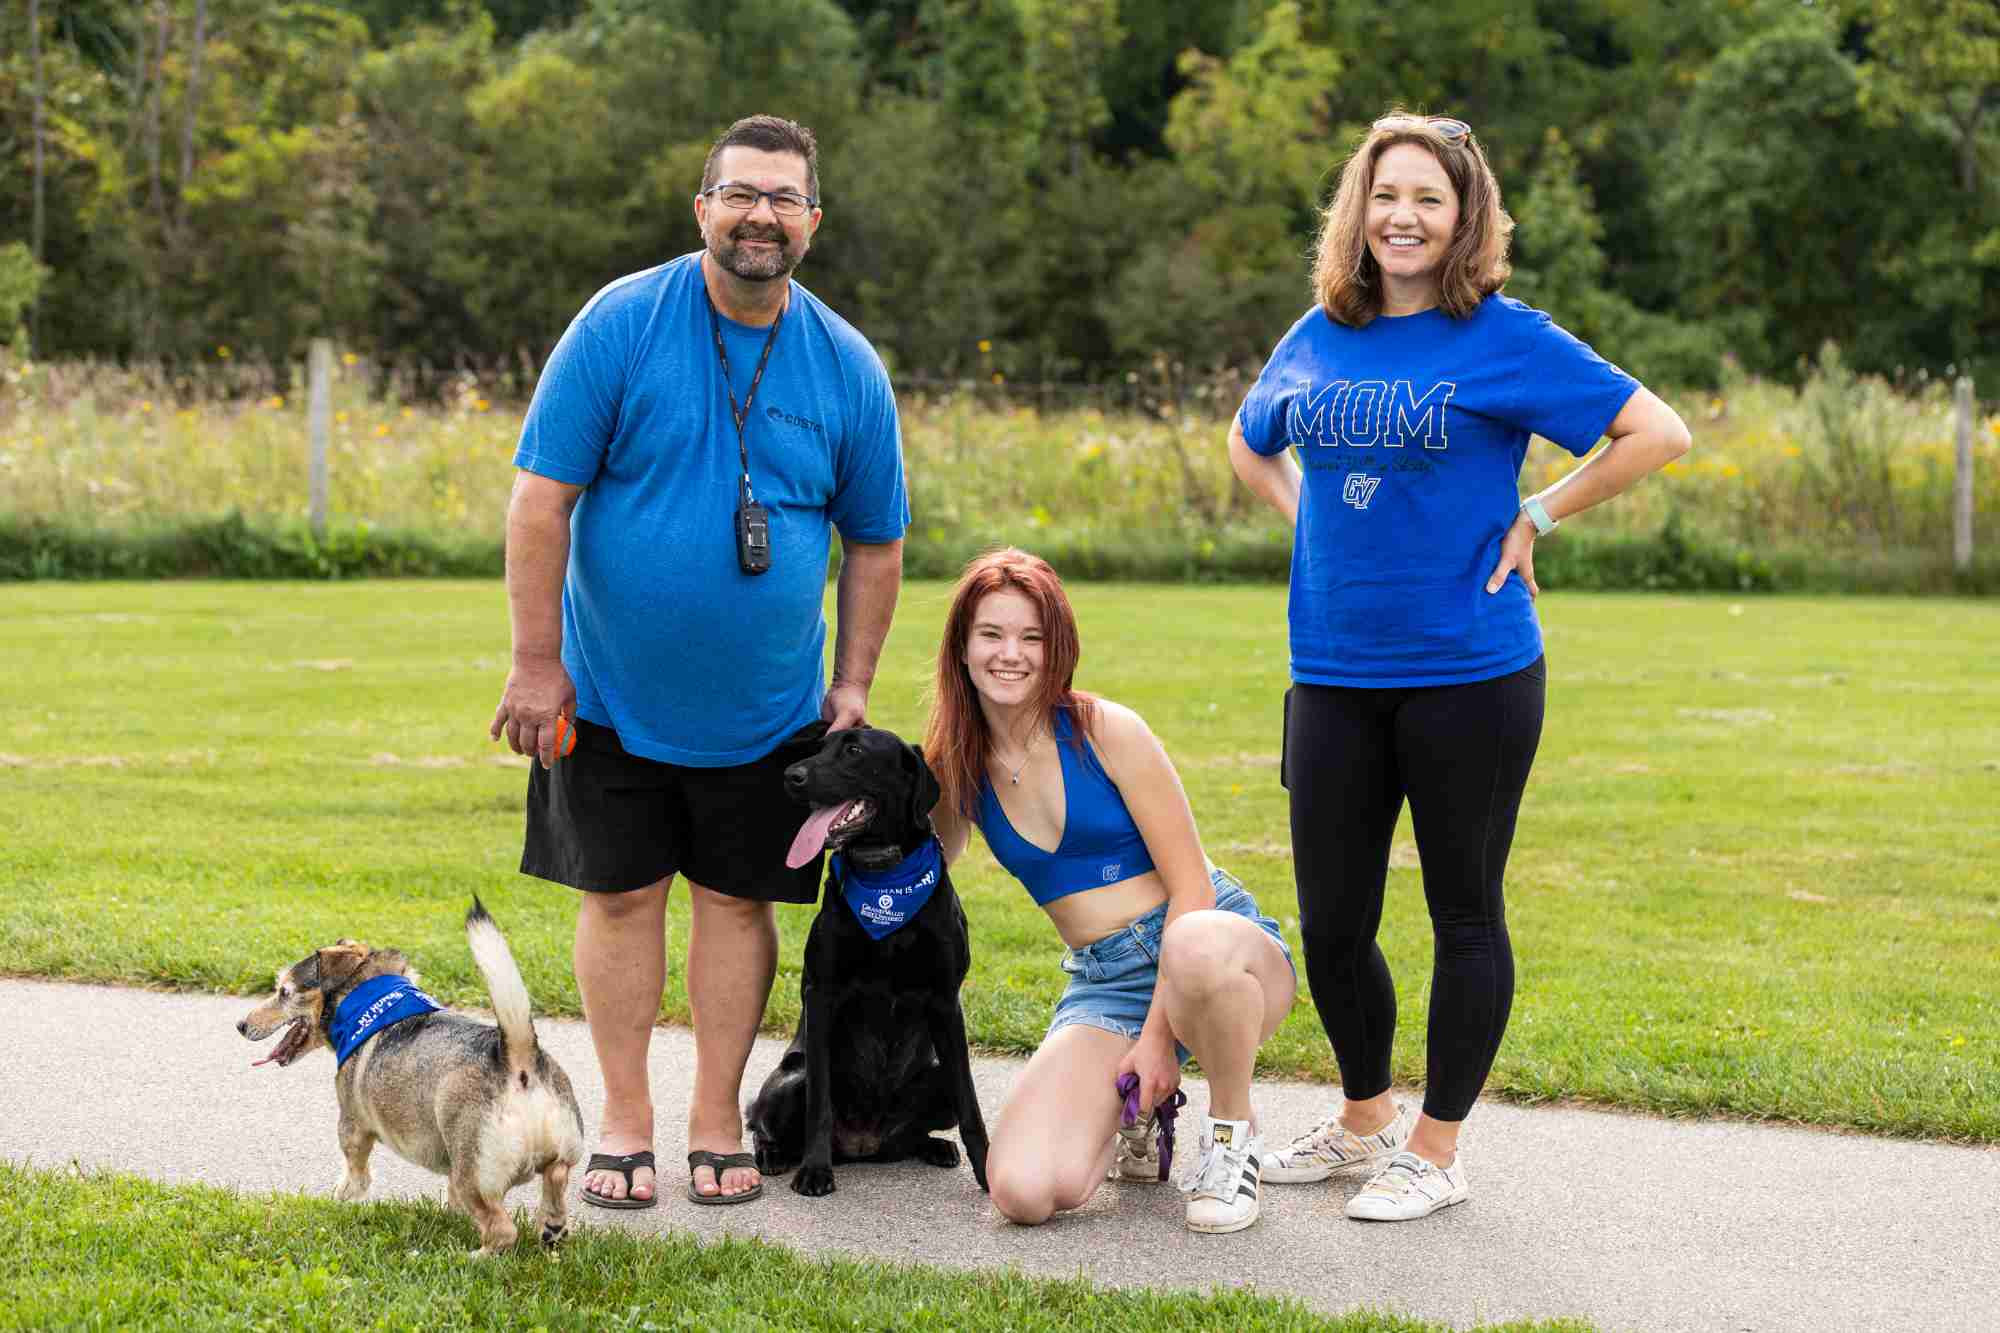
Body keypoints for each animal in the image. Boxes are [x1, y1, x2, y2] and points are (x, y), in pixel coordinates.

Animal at [239, 896, 584, 1248]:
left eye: (284, 992)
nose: (240, 1025)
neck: (368, 1002)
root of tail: (518, 1058)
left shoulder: (351, 1126)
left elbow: (354, 1174)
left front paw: (342, 1198)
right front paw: (454, 1217)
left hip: (473, 1176)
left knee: (502, 1231)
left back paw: (474, 1254)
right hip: (555, 1154)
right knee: (556, 1175)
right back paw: (551, 1226)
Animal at [744, 728, 992, 1192]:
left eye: (854, 751)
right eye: (819, 747)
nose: (790, 776)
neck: (884, 880)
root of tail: (864, 1145)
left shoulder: (946, 1001)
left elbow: (971, 1106)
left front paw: (989, 1172)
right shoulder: (822, 995)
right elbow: (819, 1105)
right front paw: (814, 1170)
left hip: (936, 1078)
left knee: (913, 1136)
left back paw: (935, 1146)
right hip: (791, 1078)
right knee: (759, 1121)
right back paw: (774, 1155)